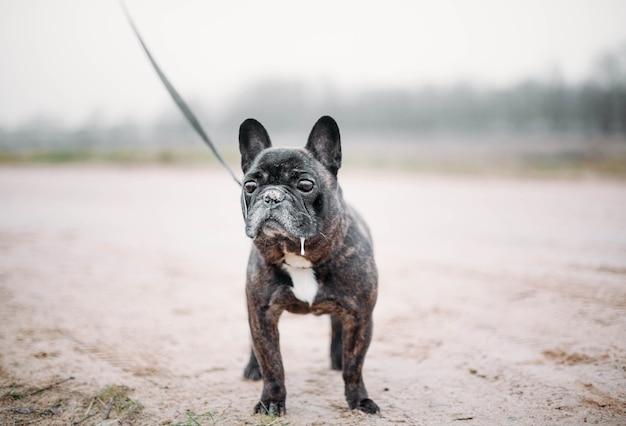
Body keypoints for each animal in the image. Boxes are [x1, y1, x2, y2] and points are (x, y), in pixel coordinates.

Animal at [238, 115, 376, 414]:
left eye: (305, 184)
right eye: (250, 186)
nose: (272, 196)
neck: (300, 256)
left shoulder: (360, 316)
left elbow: (355, 366)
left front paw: (359, 400)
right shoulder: (262, 313)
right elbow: (272, 363)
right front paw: (271, 400)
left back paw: (337, 359)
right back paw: (253, 368)